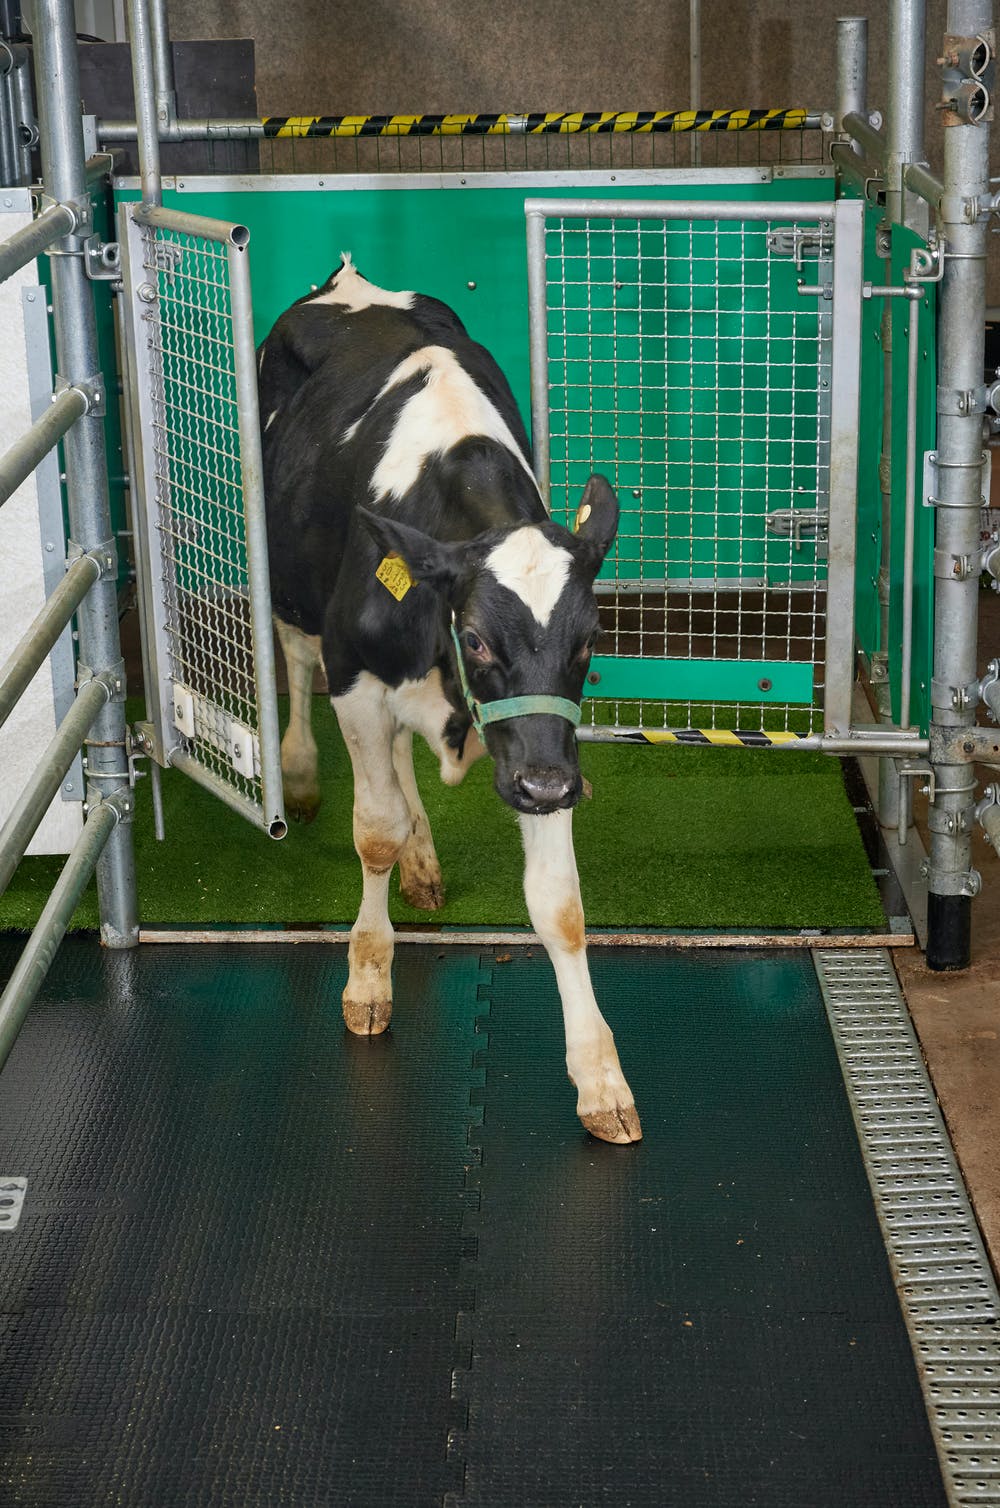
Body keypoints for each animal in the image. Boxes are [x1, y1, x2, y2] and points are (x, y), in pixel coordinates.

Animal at [257, 256, 642, 1140]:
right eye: (477, 640)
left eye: (589, 639)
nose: (547, 787)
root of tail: (347, 278)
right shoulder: (357, 679)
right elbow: (373, 832)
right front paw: (368, 978)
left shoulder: (539, 744)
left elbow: (561, 905)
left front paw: (599, 1077)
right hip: (290, 586)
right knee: (297, 662)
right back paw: (301, 773)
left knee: (402, 765)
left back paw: (426, 860)